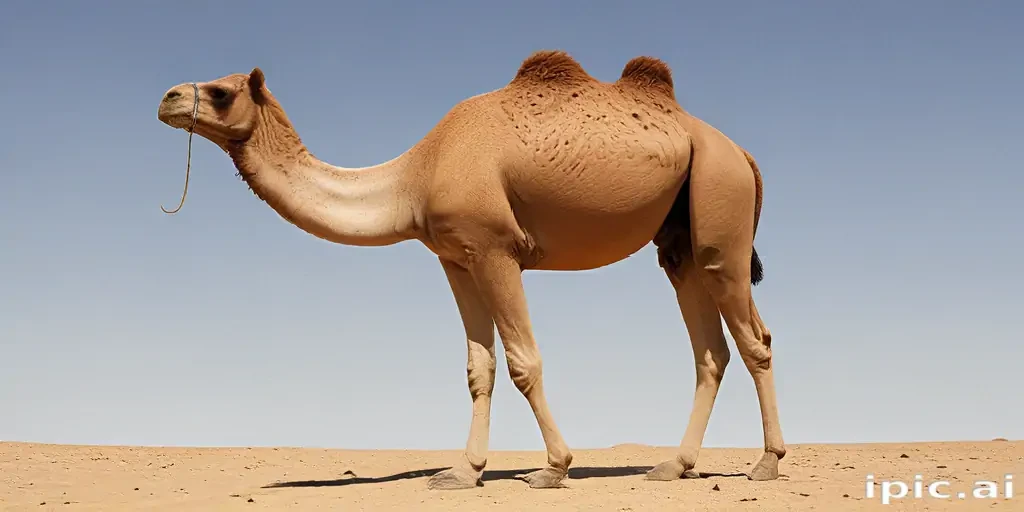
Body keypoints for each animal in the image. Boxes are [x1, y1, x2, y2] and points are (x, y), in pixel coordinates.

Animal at [155, 50, 786, 490]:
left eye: (220, 91)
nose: (167, 97)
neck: (414, 176)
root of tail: (742, 152)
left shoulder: (495, 248)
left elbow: (525, 362)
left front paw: (554, 468)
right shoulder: (456, 258)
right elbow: (478, 369)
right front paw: (463, 473)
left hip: (720, 204)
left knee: (754, 339)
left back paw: (767, 463)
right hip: (681, 233)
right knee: (711, 348)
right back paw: (673, 467)